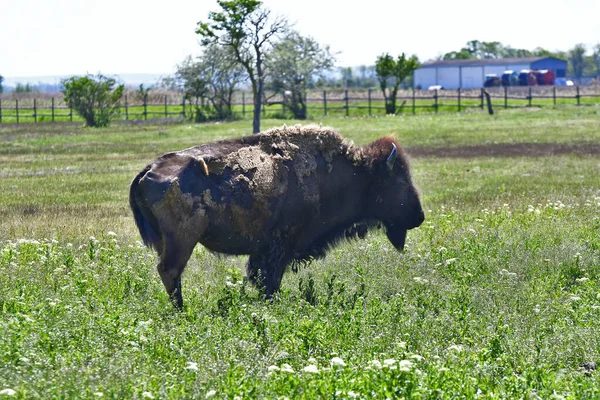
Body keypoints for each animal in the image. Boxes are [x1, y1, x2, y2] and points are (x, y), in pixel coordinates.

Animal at [129, 125, 424, 310]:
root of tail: (149, 169)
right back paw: (182, 311)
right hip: (182, 240)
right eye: (399, 180)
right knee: (170, 271)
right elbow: (270, 281)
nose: (419, 216)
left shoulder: (263, 251)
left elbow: (259, 278)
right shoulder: (281, 246)